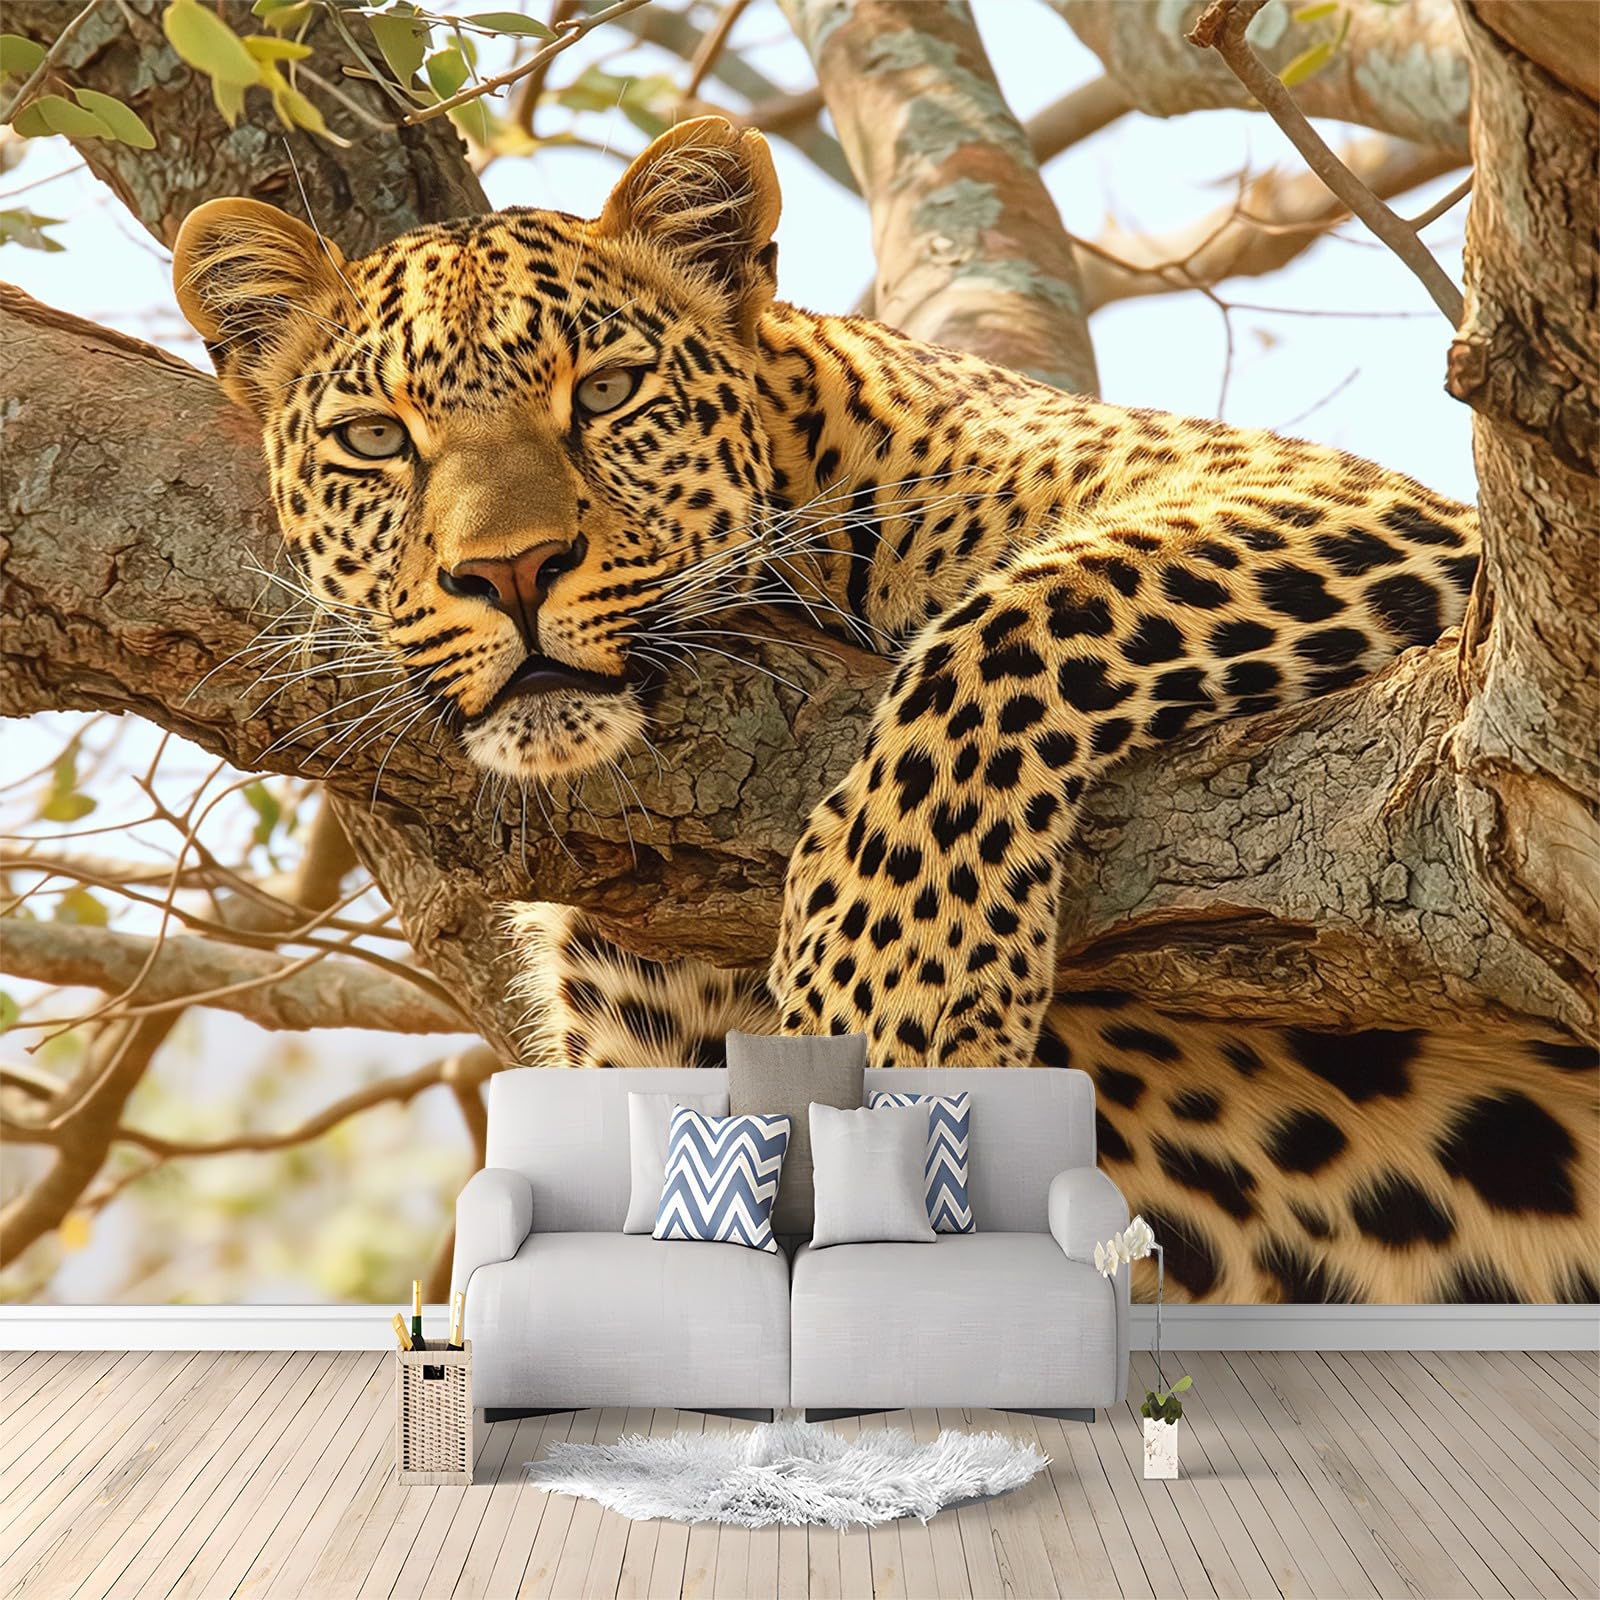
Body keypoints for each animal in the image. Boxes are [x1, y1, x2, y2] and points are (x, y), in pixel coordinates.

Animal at [173, 117, 1597, 1304]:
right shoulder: (653, 1018)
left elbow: (1037, 606)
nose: (512, 571)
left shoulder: (1380, 515)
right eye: (375, 439)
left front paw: (901, 968)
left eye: (605, 392)